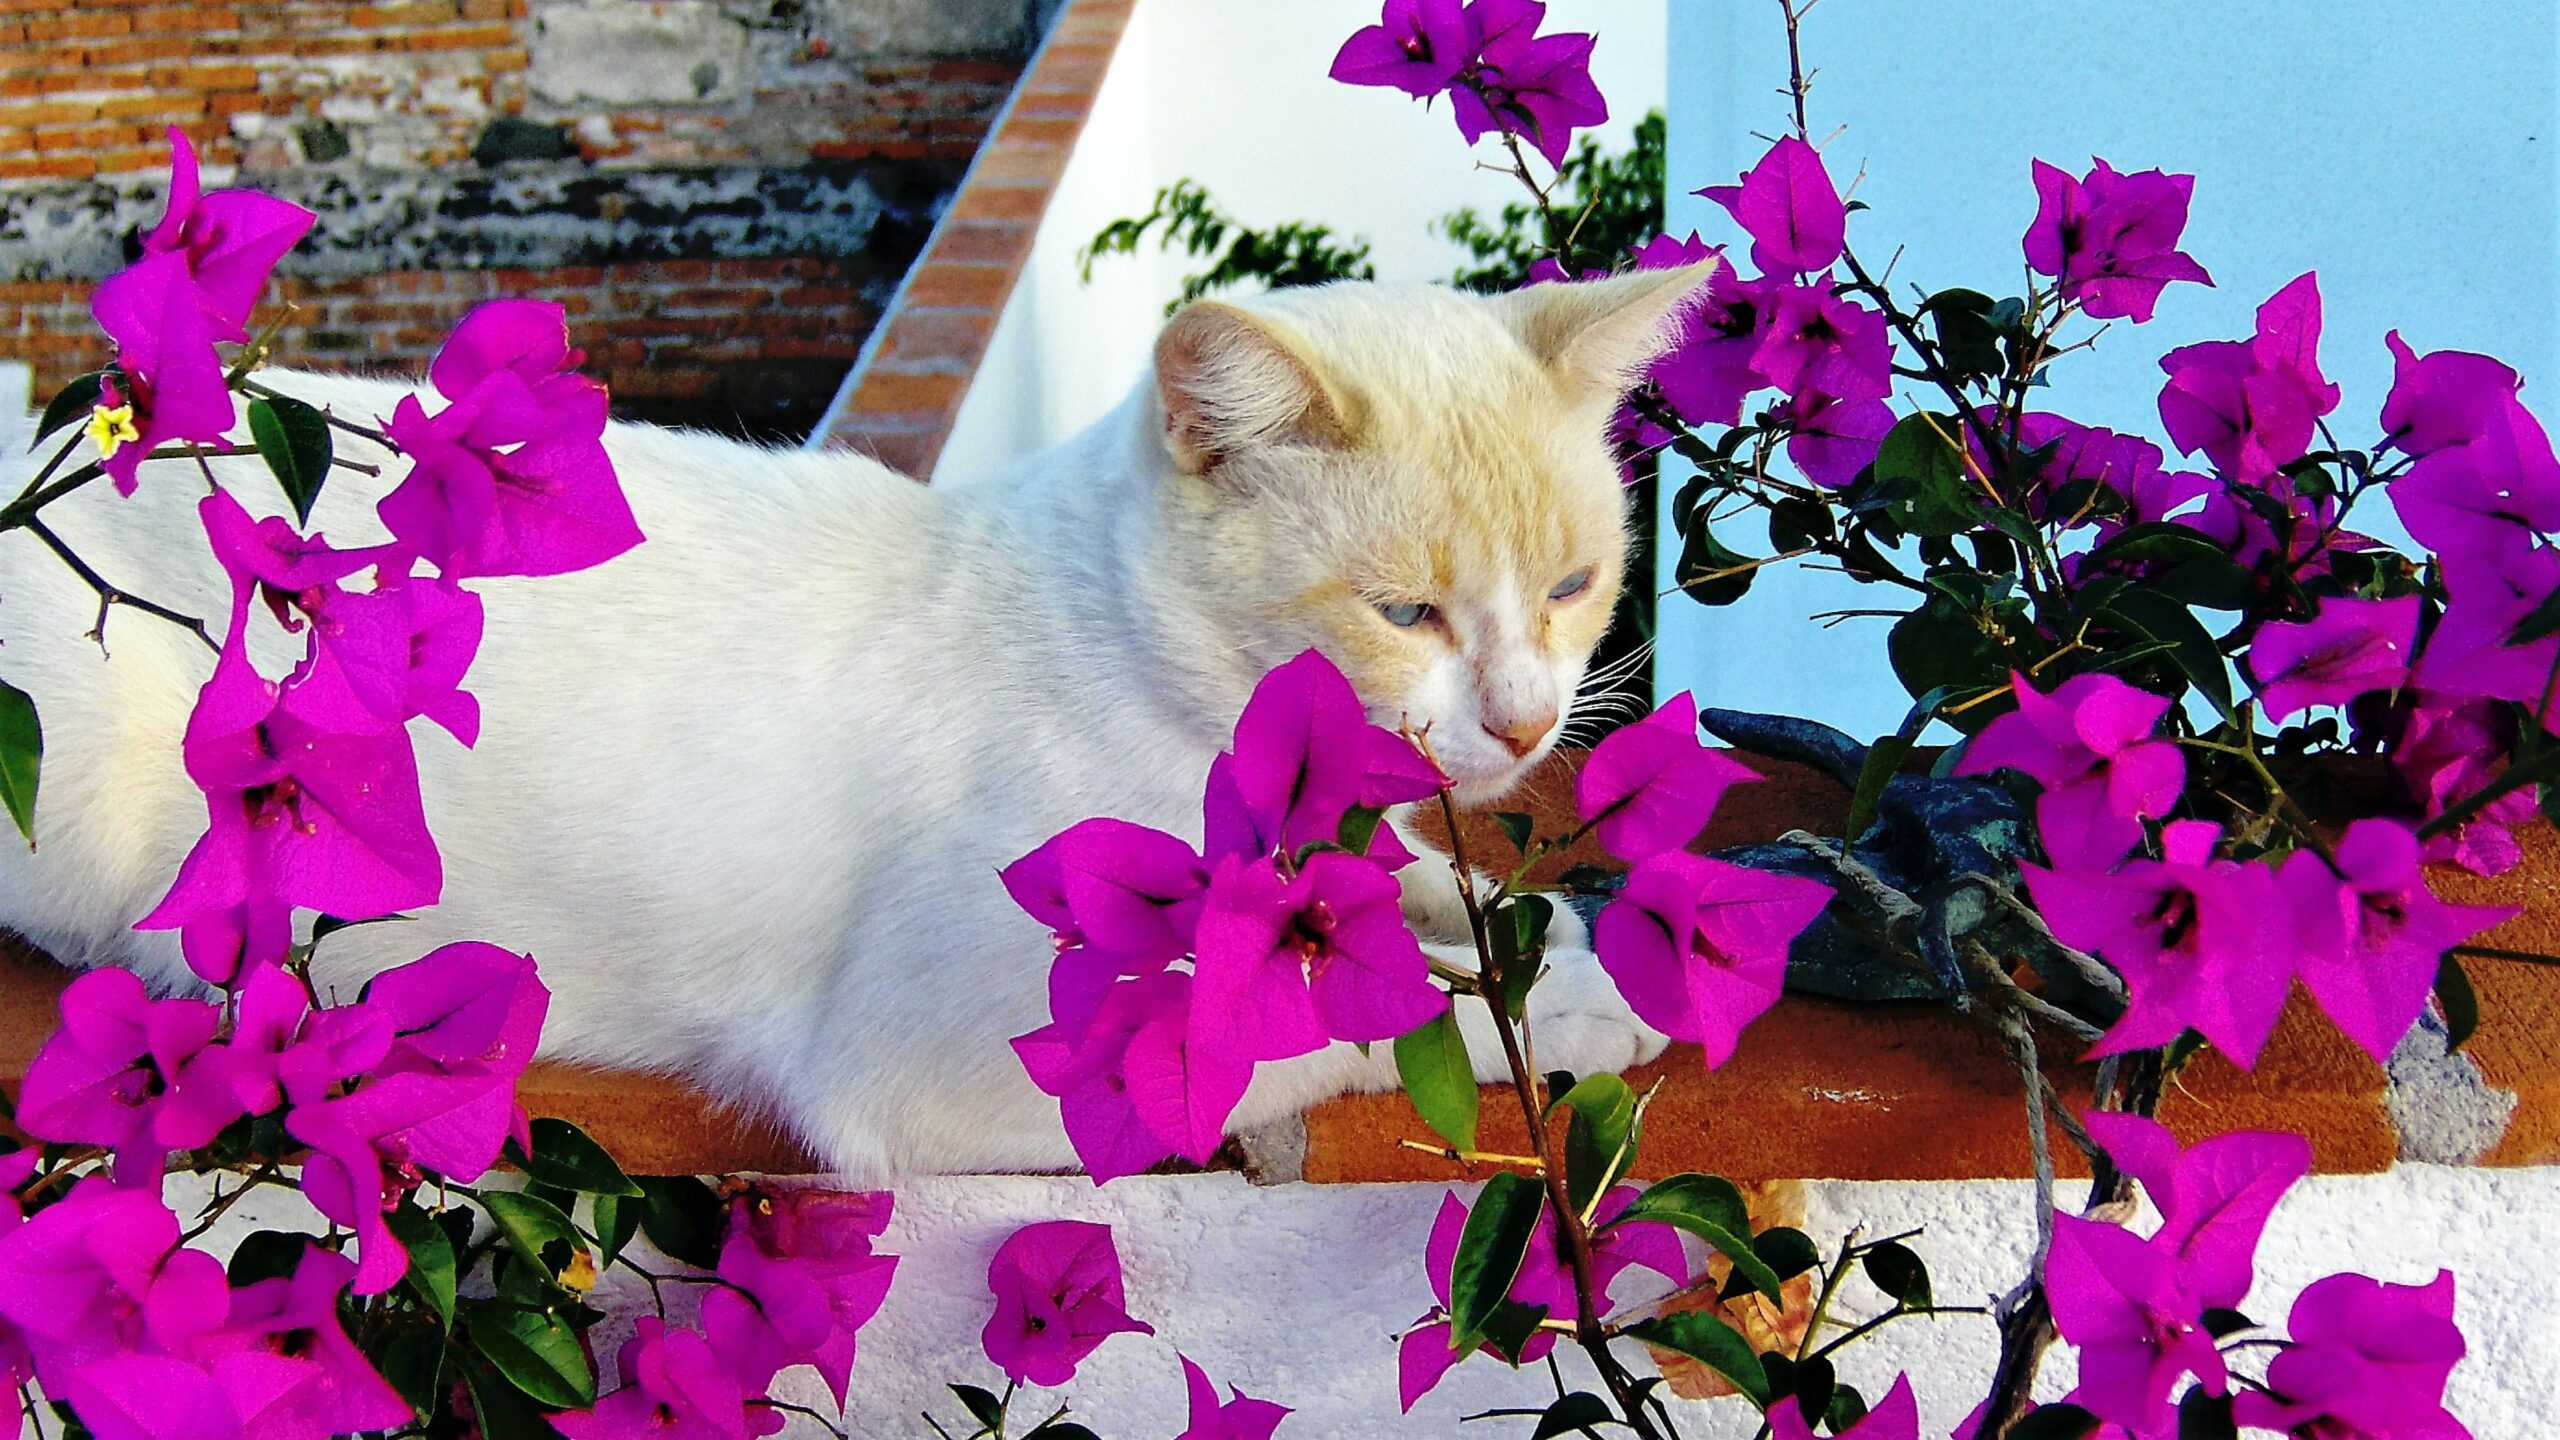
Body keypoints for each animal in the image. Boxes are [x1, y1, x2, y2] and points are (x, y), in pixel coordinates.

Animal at [5, 263, 1720, 1173]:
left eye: (1576, 585)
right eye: (1406, 615)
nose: (1523, 725)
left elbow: (1429, 894)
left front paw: (1554, 933)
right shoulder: (945, 1069)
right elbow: (1336, 1012)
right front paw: (1572, 1004)